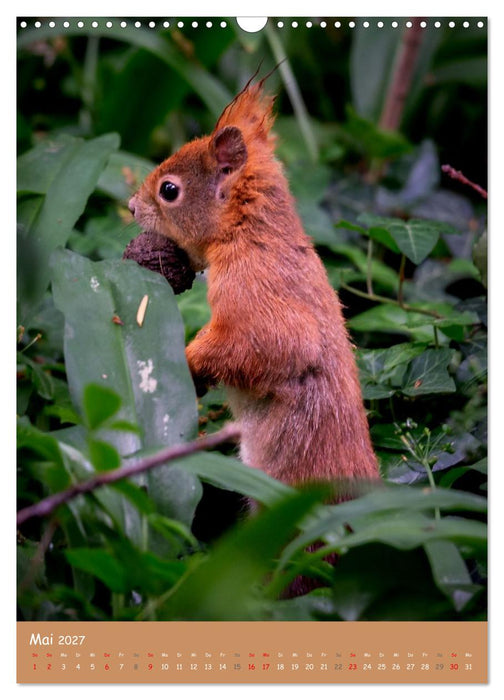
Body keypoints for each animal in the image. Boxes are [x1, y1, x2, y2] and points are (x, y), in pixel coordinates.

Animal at [128, 78, 380, 496]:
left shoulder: (253, 287)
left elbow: (264, 345)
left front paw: (190, 361)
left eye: (169, 190)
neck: (247, 232)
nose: (131, 207)